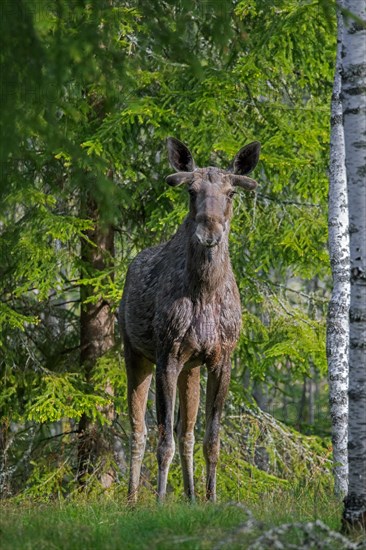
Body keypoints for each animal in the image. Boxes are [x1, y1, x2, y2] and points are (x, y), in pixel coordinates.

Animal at [119, 139, 260, 504]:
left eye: (230, 192)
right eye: (191, 191)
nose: (209, 232)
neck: (205, 292)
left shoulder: (221, 358)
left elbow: (211, 439)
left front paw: (211, 498)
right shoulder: (166, 354)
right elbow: (162, 440)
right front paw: (159, 500)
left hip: (191, 367)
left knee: (188, 432)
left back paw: (192, 496)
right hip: (135, 353)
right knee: (138, 429)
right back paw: (132, 499)